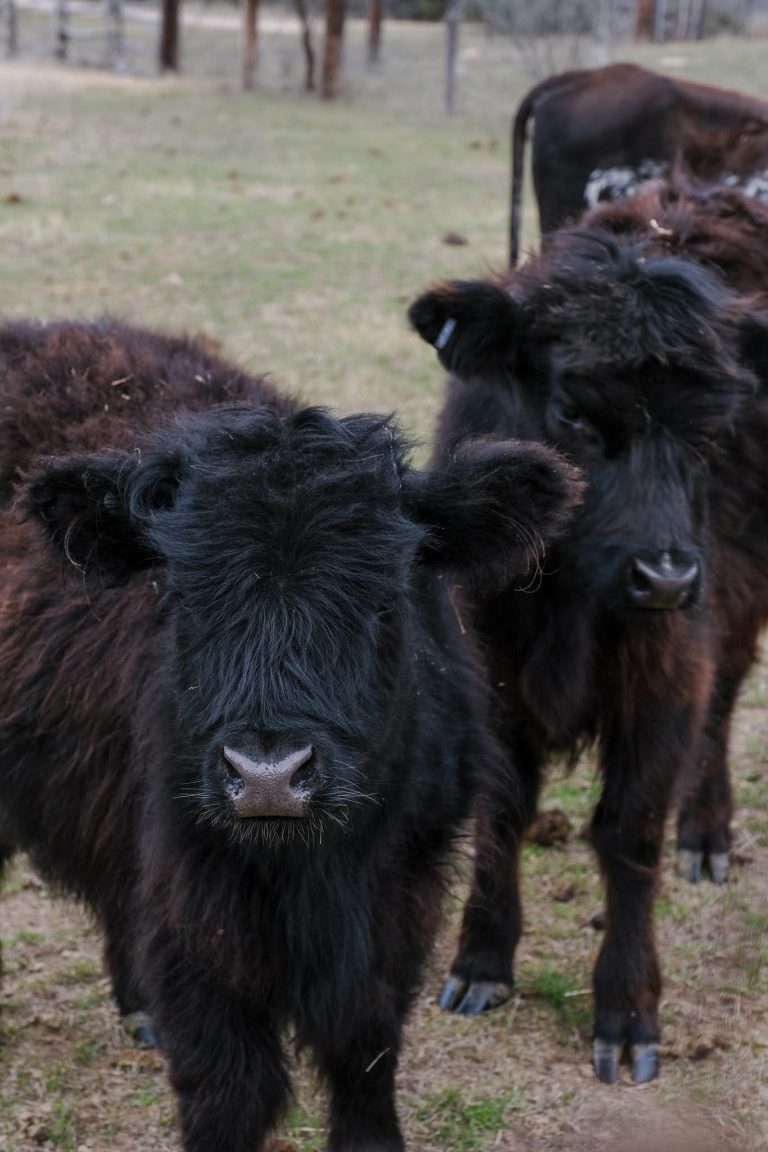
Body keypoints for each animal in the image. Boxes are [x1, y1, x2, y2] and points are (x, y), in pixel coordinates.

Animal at [0, 318, 578, 1152]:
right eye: (179, 594)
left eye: (382, 597)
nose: (268, 775)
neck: (310, 872)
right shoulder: (191, 911)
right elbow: (229, 1086)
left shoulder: (401, 896)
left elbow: (365, 1045)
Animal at [408, 191, 768, 1085]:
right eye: (572, 411)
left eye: (716, 426)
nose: (665, 577)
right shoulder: (489, 668)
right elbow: (503, 810)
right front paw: (482, 961)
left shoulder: (667, 674)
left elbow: (629, 831)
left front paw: (628, 1013)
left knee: (724, 704)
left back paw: (706, 833)